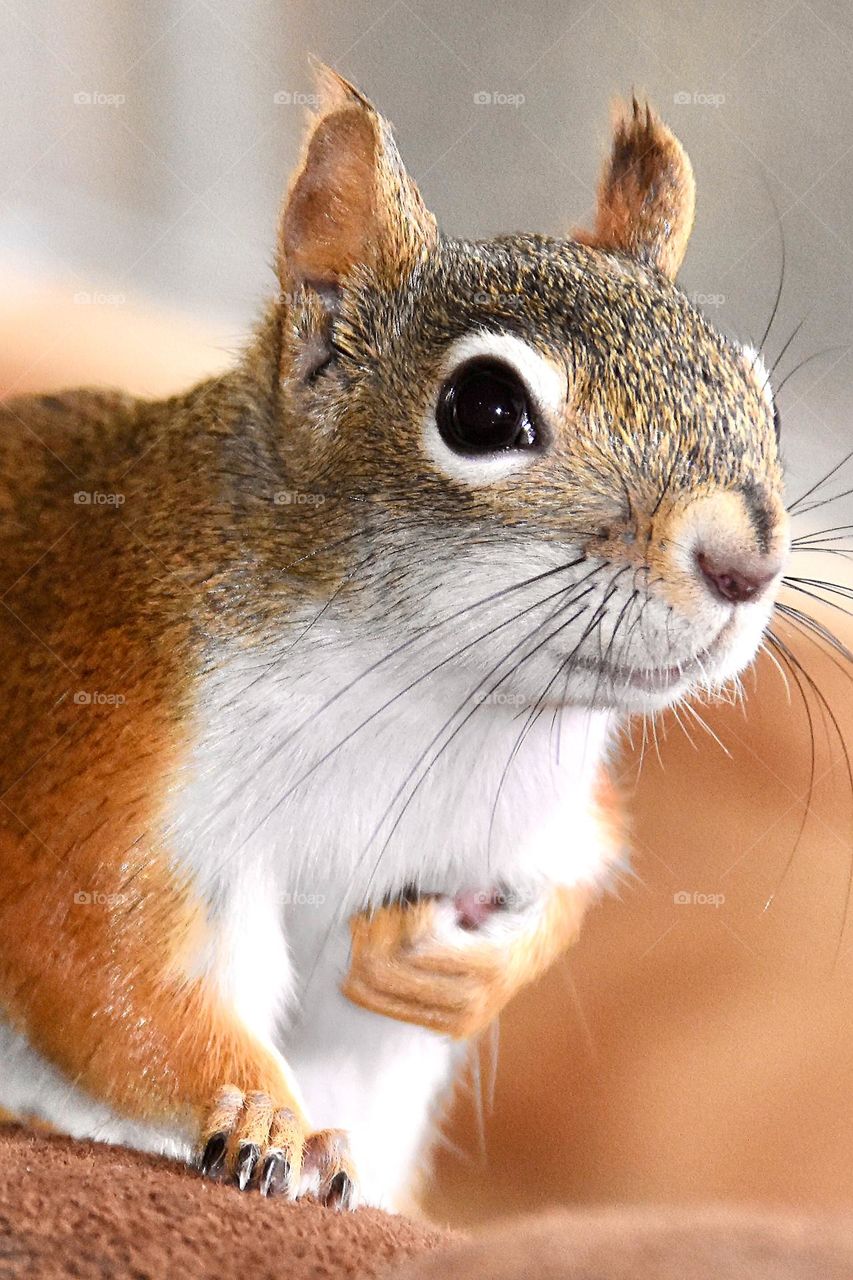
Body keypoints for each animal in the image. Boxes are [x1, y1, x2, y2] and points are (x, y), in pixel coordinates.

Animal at [0, 67, 783, 1208]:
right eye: (482, 408)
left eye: (761, 393)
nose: (745, 563)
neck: (432, 686)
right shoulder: (107, 771)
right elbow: (104, 974)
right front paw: (266, 1117)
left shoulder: (544, 823)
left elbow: (567, 890)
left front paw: (455, 977)